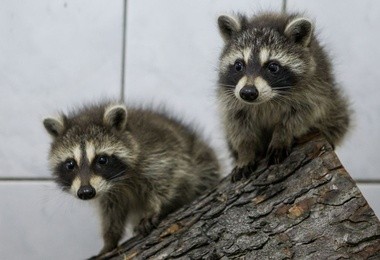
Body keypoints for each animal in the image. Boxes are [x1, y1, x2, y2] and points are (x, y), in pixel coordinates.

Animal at [43, 101, 220, 256]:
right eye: (70, 164)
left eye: (102, 160)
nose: (86, 192)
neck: (118, 182)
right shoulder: (106, 193)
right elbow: (111, 212)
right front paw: (110, 239)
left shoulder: (158, 153)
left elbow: (166, 178)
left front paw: (153, 207)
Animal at [217, 11, 350, 181]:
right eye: (239, 65)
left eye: (273, 67)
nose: (248, 93)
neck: (266, 100)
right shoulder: (230, 96)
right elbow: (238, 126)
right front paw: (245, 153)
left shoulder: (315, 89)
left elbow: (299, 116)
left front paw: (281, 136)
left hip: (334, 103)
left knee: (338, 119)